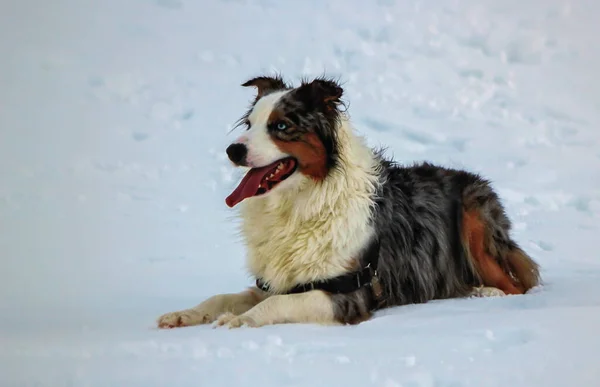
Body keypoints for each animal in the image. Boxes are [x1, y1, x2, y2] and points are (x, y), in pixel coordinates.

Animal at [157, 74, 540, 328]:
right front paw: (184, 314)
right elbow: (224, 297)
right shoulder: (278, 279)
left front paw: (238, 322)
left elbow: (276, 305)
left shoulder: (346, 294)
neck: (300, 203)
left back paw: (485, 293)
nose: (232, 150)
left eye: (280, 126)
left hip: (474, 219)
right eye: (249, 124)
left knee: (518, 284)